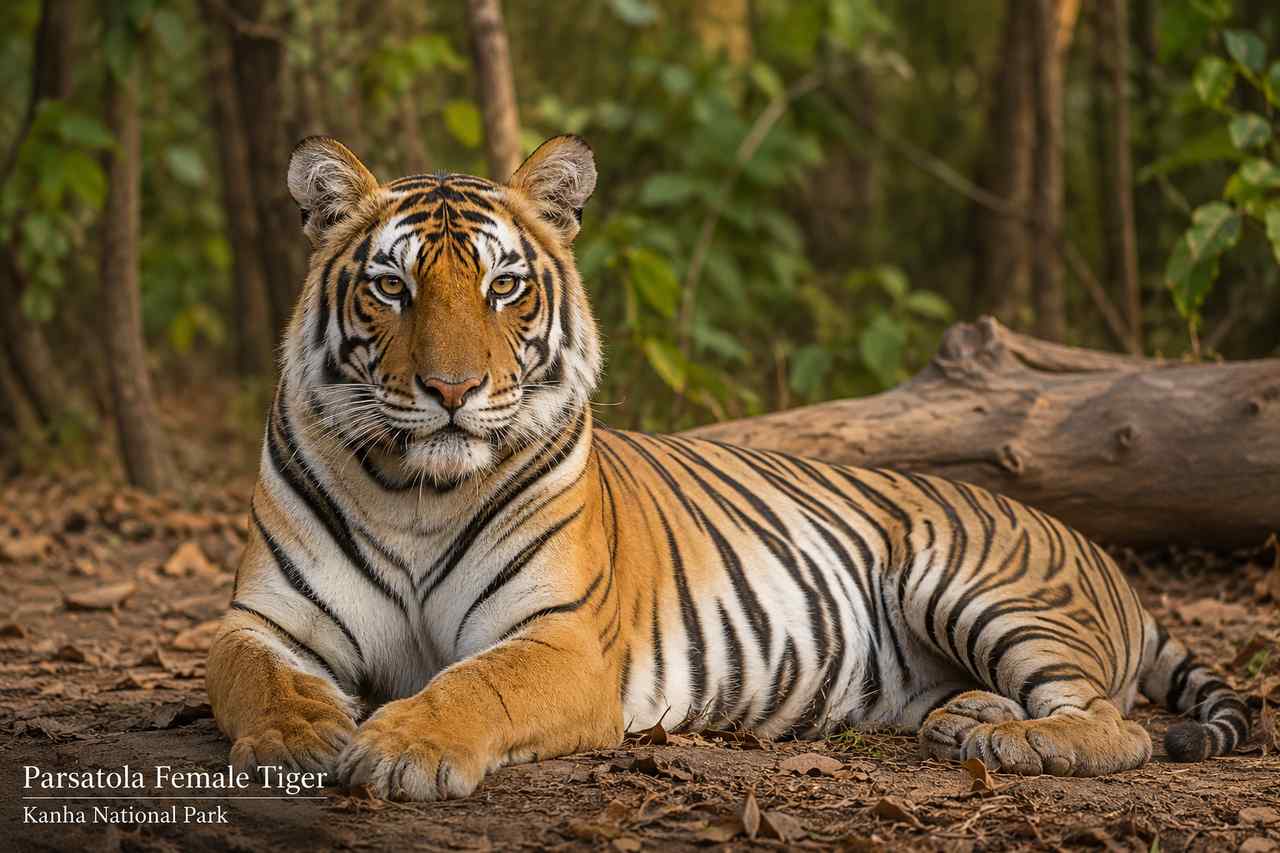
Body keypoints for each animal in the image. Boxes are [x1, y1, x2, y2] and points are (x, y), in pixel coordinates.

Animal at [207, 134, 1250, 801]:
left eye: (504, 287)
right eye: (392, 286)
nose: (453, 389)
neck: (418, 491)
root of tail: (1098, 552)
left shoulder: (559, 638)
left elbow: (474, 683)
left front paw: (404, 746)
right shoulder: (267, 620)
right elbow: (253, 676)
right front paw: (303, 734)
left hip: (976, 582)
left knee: (1120, 725)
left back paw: (1013, 738)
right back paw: (971, 719)